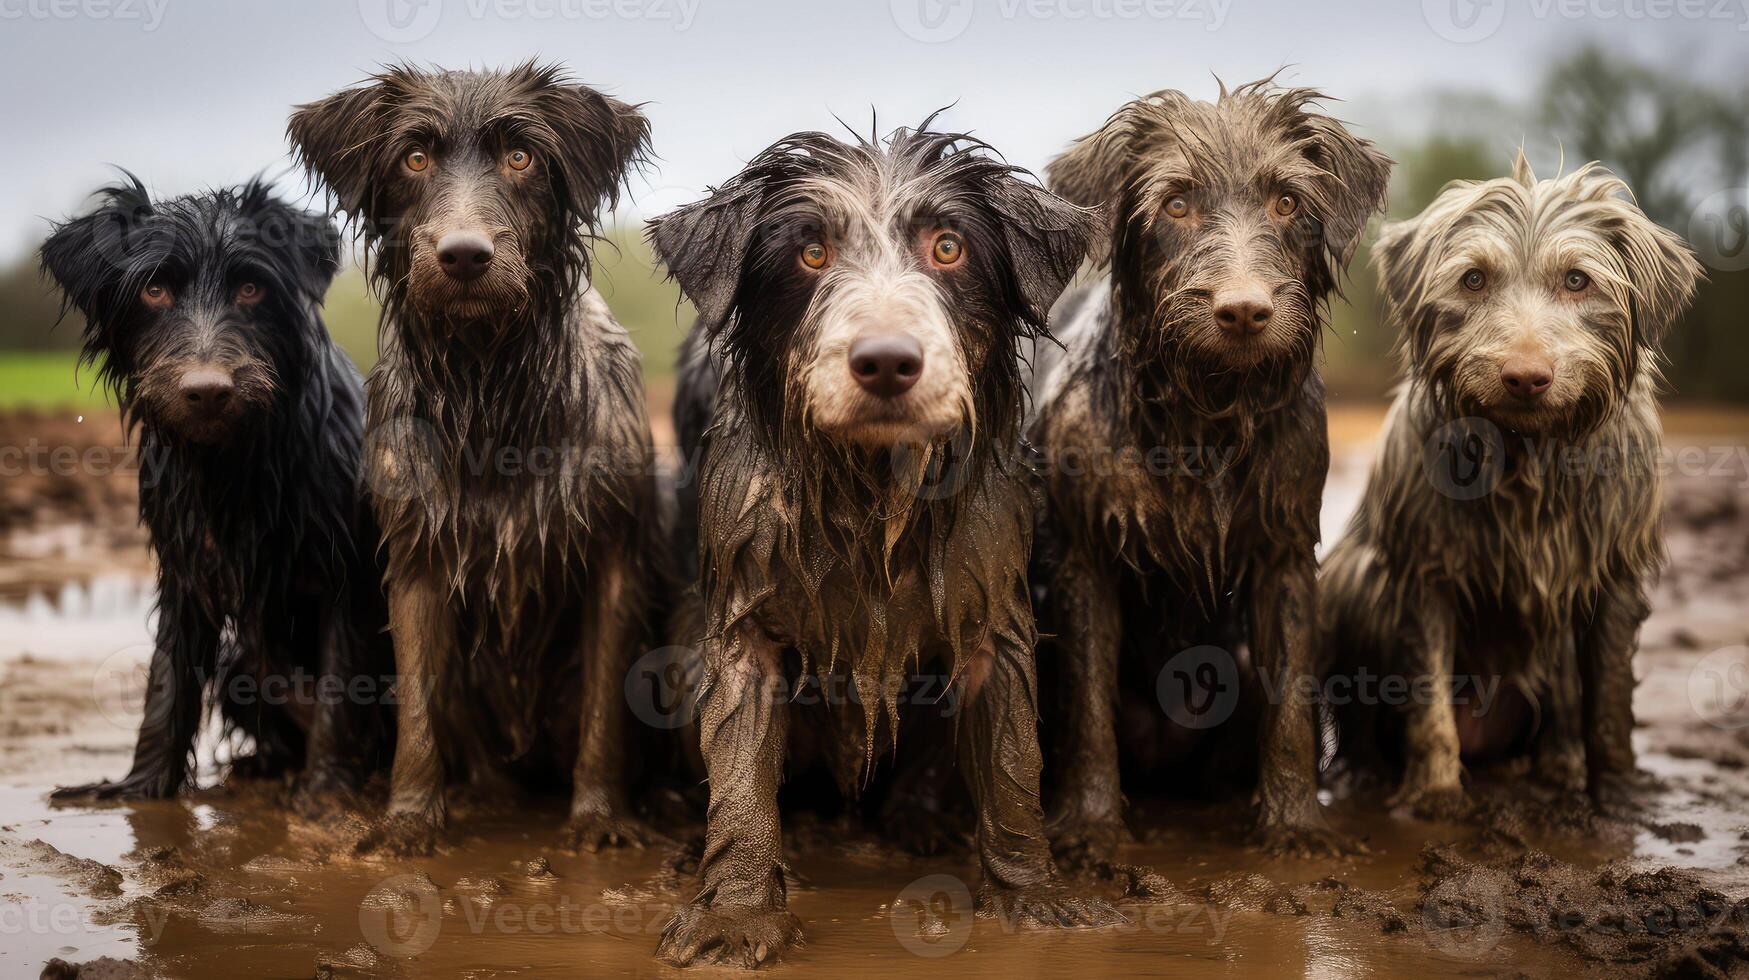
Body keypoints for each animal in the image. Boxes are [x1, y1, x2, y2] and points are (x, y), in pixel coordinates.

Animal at [42, 175, 391, 805]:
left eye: (251, 287)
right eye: (155, 290)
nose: (207, 390)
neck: (234, 461)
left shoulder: (345, 576)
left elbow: (342, 683)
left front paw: (325, 792)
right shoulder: (185, 571)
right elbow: (167, 682)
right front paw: (140, 786)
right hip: (239, 669)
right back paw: (263, 764)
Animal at [290, 63, 657, 857]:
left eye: (521, 157)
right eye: (413, 158)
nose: (463, 256)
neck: (488, 391)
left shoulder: (614, 555)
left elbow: (604, 708)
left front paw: (599, 817)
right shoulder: (416, 556)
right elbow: (418, 712)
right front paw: (407, 820)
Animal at [647, 120, 1119, 966]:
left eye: (947, 247)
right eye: (810, 254)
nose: (888, 362)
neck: (867, 483)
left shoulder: (992, 603)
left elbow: (1011, 765)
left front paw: (1030, 894)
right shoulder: (741, 612)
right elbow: (738, 769)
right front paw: (736, 911)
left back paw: (917, 820)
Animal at [1028, 80, 1385, 854]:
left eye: (1287, 202)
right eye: (1175, 204)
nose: (1243, 311)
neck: (1205, 422)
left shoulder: (1284, 551)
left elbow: (1291, 703)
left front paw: (1294, 824)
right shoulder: (1083, 555)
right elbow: (1088, 705)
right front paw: (1092, 829)